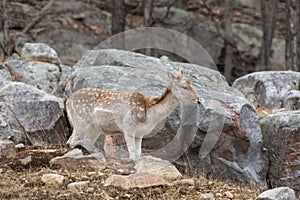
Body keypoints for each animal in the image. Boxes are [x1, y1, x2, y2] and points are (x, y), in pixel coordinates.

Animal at [67, 69, 200, 160]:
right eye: (184, 87)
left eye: (191, 84)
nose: (198, 100)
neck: (149, 114)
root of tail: (68, 101)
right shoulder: (128, 127)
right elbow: (131, 152)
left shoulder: (140, 134)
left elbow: (138, 153)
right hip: (80, 122)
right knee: (71, 141)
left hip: (93, 129)